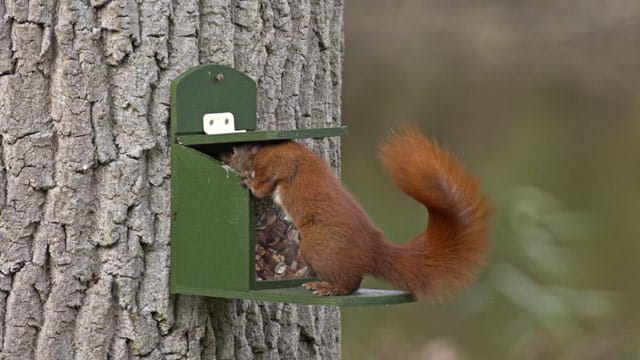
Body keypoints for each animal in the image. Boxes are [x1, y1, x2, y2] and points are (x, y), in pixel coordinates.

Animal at [222, 128, 492, 300]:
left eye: (233, 149)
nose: (221, 156)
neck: (267, 148)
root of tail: (373, 250)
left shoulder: (279, 163)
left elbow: (265, 184)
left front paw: (248, 181)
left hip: (317, 248)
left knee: (350, 282)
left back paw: (326, 288)